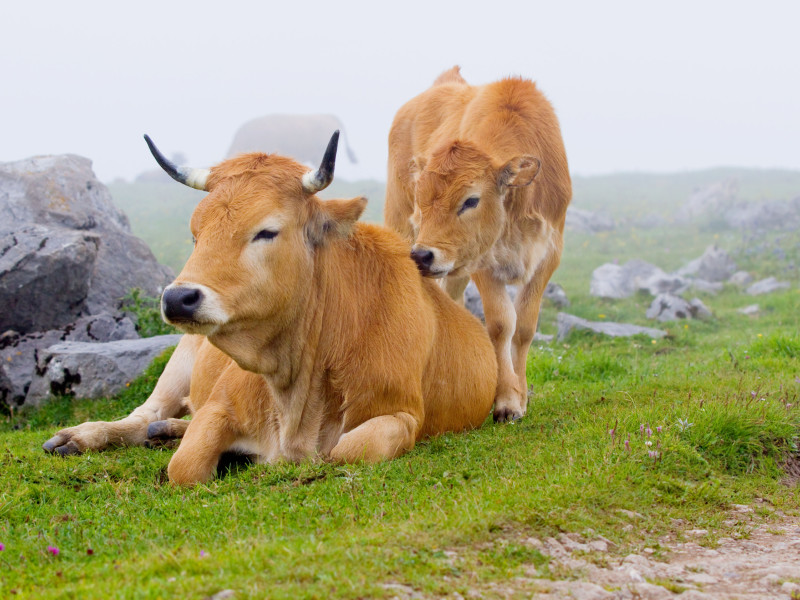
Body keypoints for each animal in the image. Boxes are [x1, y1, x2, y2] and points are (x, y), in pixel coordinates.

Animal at [43, 134, 496, 486]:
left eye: (266, 231)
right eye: (196, 233)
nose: (178, 298)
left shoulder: (401, 415)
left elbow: (346, 450)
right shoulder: (220, 404)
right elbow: (185, 467)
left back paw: (167, 430)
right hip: (180, 358)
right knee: (142, 415)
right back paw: (83, 437)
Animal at [386, 65, 568, 422]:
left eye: (471, 200)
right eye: (422, 199)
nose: (423, 256)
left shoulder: (548, 255)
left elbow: (525, 326)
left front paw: (521, 395)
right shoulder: (483, 259)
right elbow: (501, 324)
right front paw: (507, 400)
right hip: (400, 223)